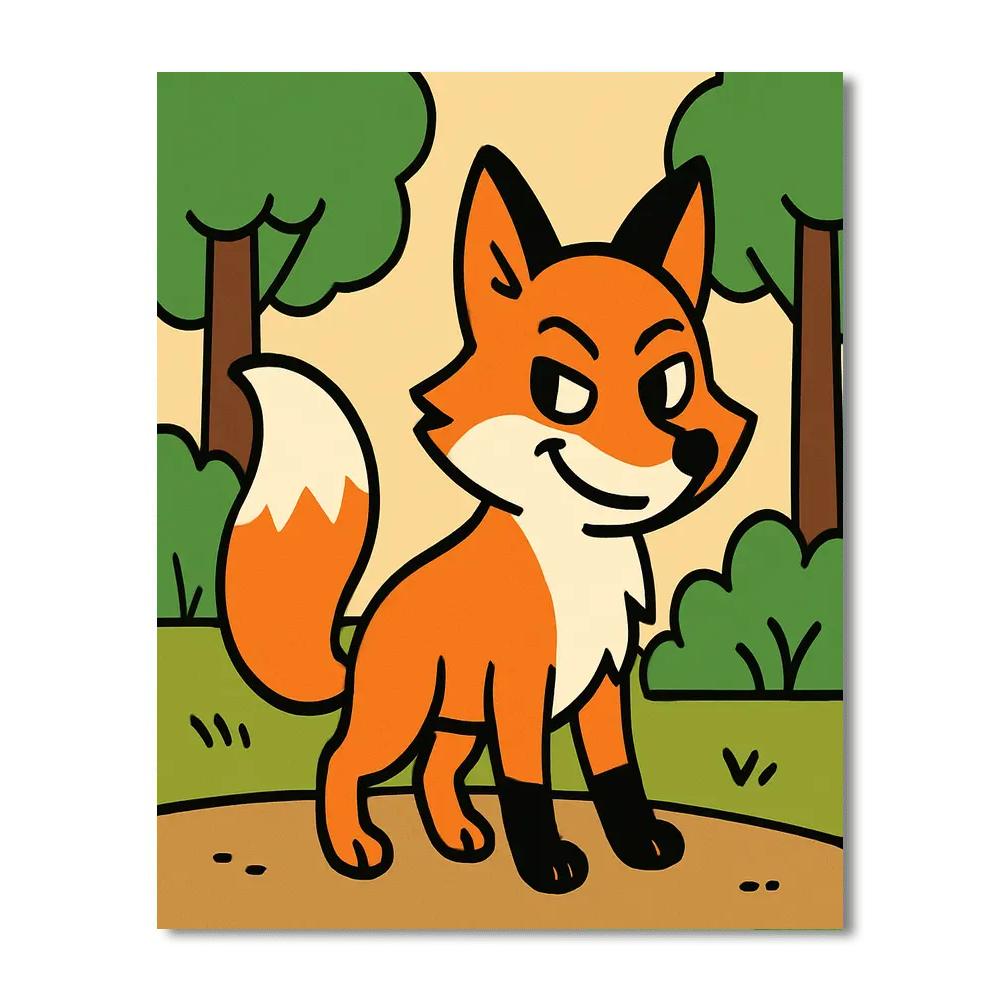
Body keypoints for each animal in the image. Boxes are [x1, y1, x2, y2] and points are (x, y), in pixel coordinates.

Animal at [219, 146, 755, 894]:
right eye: (563, 389)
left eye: (672, 383)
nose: (694, 450)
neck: (577, 558)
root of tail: (363, 632)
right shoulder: (522, 688)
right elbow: (527, 782)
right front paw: (547, 863)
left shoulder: (603, 682)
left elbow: (617, 773)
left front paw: (640, 843)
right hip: (405, 712)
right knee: (342, 758)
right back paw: (355, 848)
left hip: (457, 721)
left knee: (433, 771)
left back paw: (459, 838)